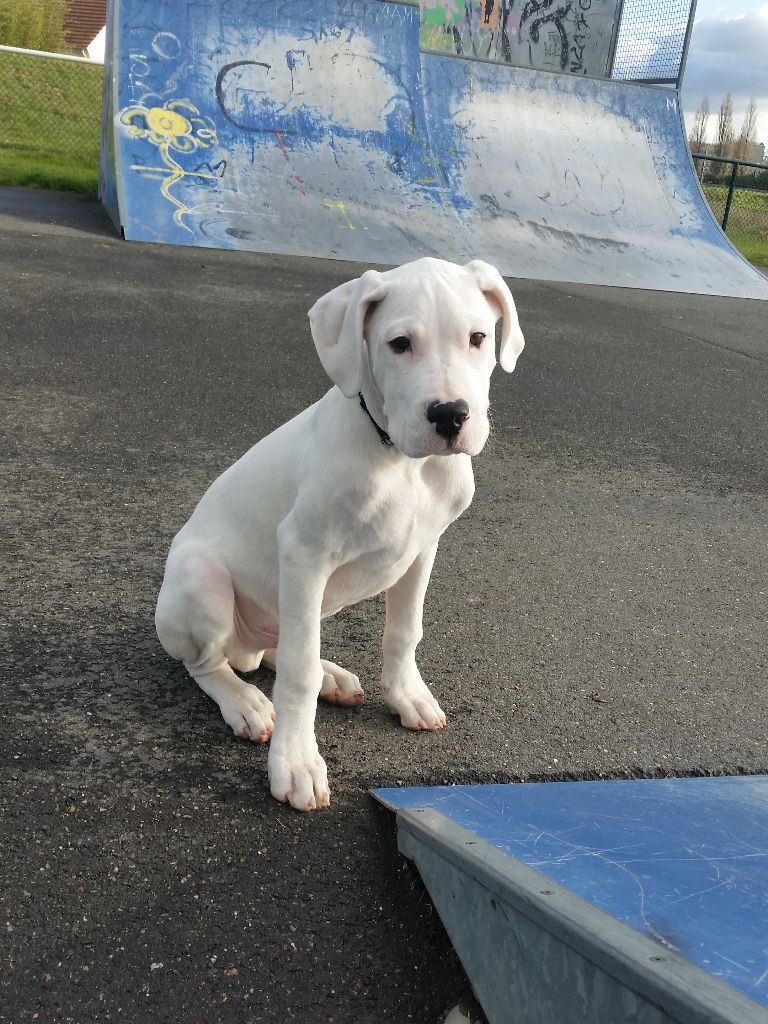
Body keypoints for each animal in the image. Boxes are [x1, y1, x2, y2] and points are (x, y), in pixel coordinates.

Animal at [156, 256, 528, 806]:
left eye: (478, 337)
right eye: (399, 344)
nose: (450, 415)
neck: (401, 461)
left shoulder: (423, 549)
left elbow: (403, 631)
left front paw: (405, 695)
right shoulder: (304, 554)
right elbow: (297, 673)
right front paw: (296, 762)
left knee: (281, 644)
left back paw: (332, 677)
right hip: (201, 580)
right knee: (211, 664)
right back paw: (245, 701)